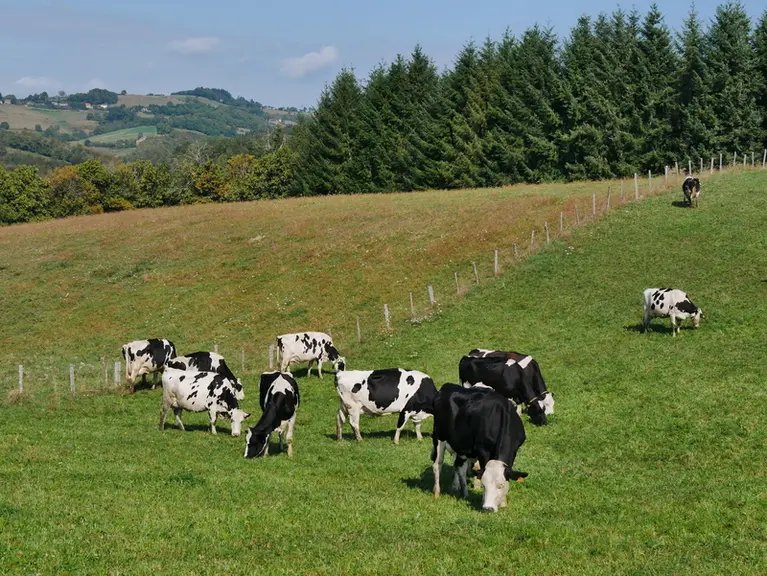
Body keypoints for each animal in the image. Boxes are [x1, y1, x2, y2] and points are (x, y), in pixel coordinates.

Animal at [431, 384, 528, 513]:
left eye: (501, 485)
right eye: (484, 484)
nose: (488, 508)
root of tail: (447, 386)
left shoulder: (515, 449)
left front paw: (503, 503)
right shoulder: (483, 451)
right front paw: (483, 500)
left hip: (461, 445)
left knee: (460, 467)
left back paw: (464, 493)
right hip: (439, 437)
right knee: (437, 464)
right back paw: (437, 493)